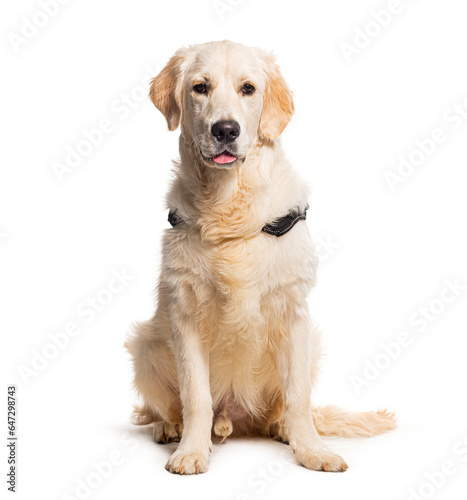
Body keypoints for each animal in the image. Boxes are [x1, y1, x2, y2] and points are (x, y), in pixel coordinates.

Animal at [126, 41, 396, 474]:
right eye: (200, 87)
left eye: (248, 88)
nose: (225, 130)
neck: (227, 202)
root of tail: (236, 419)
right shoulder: (185, 315)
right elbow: (195, 397)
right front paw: (191, 451)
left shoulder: (294, 313)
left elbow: (298, 396)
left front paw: (313, 450)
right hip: (145, 345)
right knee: (169, 408)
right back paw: (171, 429)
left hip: (311, 342)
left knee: (285, 408)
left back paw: (281, 428)